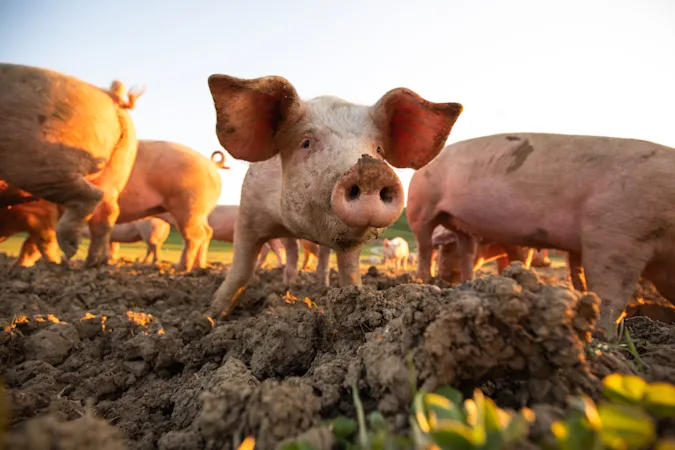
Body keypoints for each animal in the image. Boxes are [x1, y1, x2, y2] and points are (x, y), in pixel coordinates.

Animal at [0, 63, 144, 265]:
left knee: (91, 196)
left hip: (38, 159)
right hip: (121, 161)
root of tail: (110, 95)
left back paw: (70, 252)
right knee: (108, 208)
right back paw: (94, 262)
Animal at [114, 140, 222, 272]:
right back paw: (198, 266)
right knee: (207, 231)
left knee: (195, 236)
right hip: (200, 212)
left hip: (190, 206)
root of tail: (211, 165)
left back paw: (180, 268)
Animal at [204, 73, 463, 317]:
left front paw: (356, 297)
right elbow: (241, 269)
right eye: (306, 142)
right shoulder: (248, 212)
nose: (371, 170)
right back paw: (286, 287)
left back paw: (320, 286)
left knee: (319, 257)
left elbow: (349, 271)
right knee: (292, 252)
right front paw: (213, 314)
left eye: (379, 149)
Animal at [406, 132, 675, 339]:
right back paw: (424, 281)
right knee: (424, 247)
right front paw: (601, 337)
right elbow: (609, 291)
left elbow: (578, 274)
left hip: (460, 225)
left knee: (465, 251)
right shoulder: (615, 231)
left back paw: (463, 283)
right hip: (420, 207)